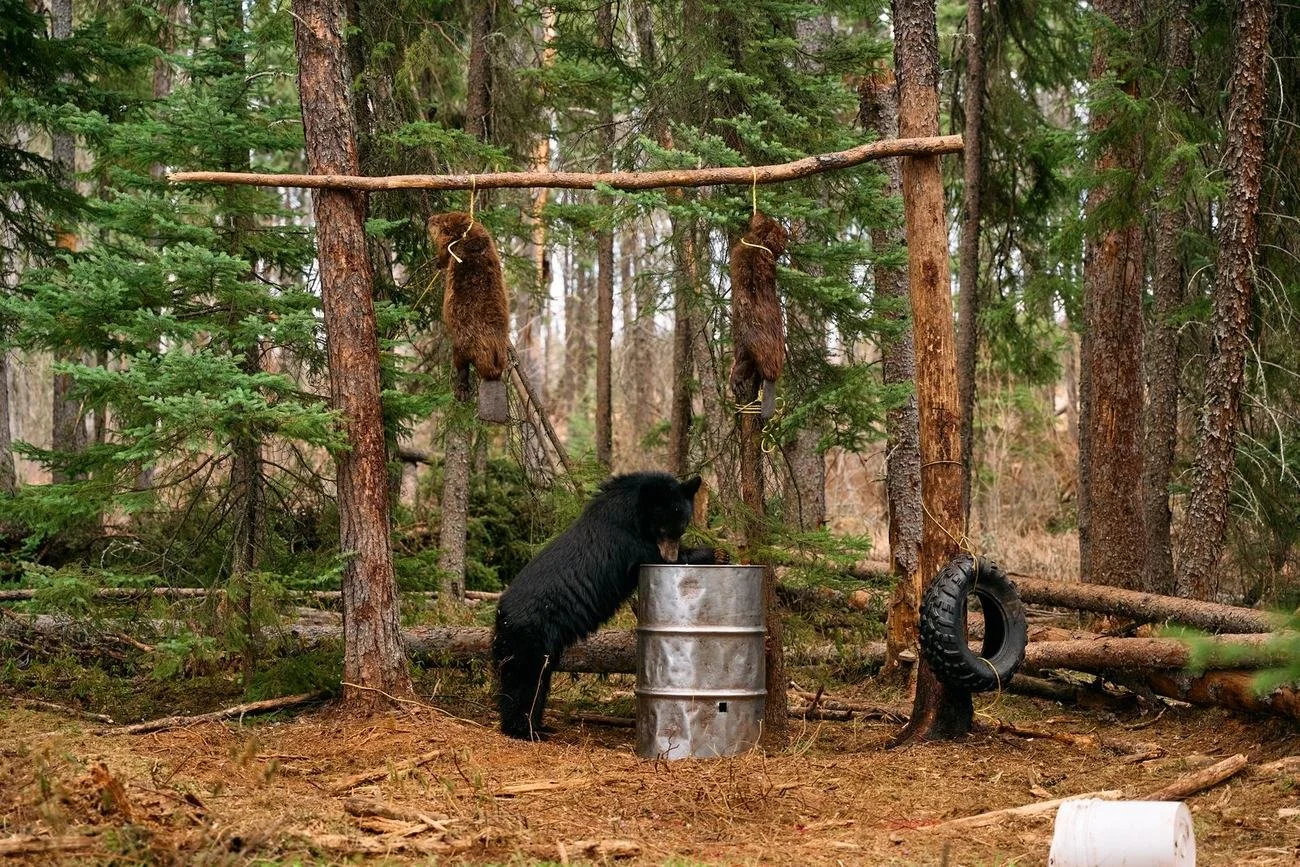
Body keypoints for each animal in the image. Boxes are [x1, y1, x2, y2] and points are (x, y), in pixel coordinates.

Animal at [427, 212, 512, 423]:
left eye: (439, 221)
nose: (429, 219)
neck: (468, 237)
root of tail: (492, 375)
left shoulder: (451, 244)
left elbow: (444, 250)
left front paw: (438, 262)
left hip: (460, 345)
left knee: (462, 367)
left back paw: (461, 393)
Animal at [492, 472, 717, 740]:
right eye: (663, 529)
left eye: (681, 528)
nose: (670, 556)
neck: (633, 512)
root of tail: (501, 611)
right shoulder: (627, 542)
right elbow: (650, 556)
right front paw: (710, 552)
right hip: (530, 635)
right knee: (524, 677)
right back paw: (524, 729)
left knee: (539, 678)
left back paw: (540, 724)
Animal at [728, 212, 788, 420]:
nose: (787, 233)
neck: (760, 243)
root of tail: (772, 377)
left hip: (747, 340)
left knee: (744, 361)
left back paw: (736, 383)